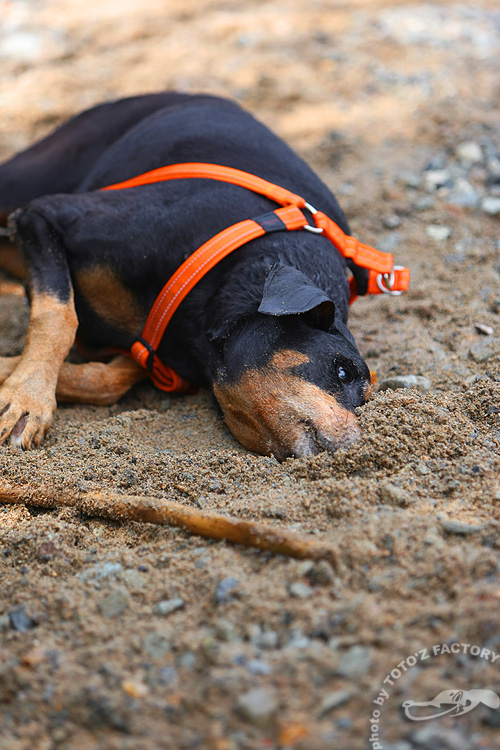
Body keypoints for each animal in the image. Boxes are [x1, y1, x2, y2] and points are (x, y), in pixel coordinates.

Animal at [0, 93, 372, 458]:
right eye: (343, 372)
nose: (360, 448)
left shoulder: (154, 357)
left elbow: (107, 381)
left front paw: (9, 372)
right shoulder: (43, 215)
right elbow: (58, 317)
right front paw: (26, 399)